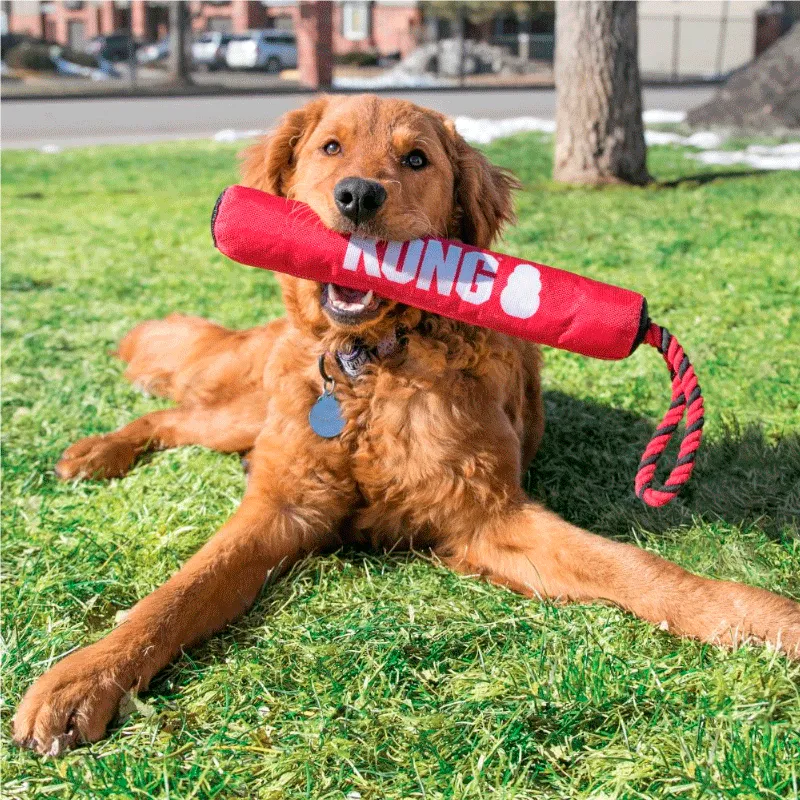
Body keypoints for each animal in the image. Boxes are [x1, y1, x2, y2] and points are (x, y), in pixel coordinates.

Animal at [14, 95, 800, 756]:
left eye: (416, 159)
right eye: (330, 147)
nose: (358, 195)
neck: (371, 370)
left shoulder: (488, 517)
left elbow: (644, 571)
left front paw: (767, 620)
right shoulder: (284, 504)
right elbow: (177, 593)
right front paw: (83, 677)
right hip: (249, 411)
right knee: (171, 413)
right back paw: (96, 452)